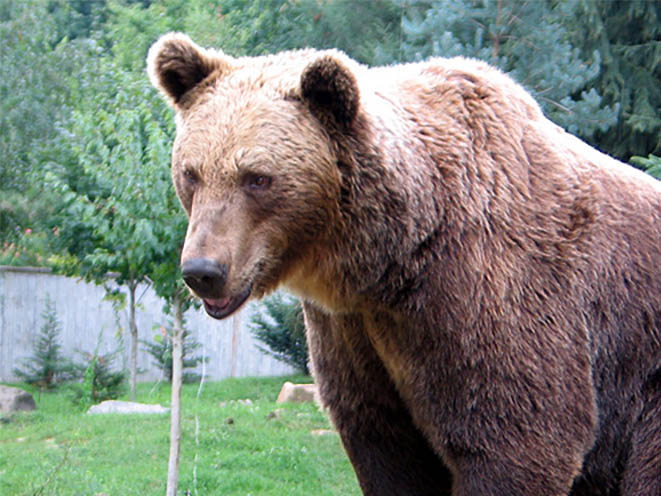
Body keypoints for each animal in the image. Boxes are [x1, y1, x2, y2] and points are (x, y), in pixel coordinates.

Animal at [147, 33, 661, 495]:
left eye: (257, 178)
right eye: (191, 173)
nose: (203, 271)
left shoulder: (495, 297)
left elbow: (522, 437)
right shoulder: (355, 336)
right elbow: (386, 446)